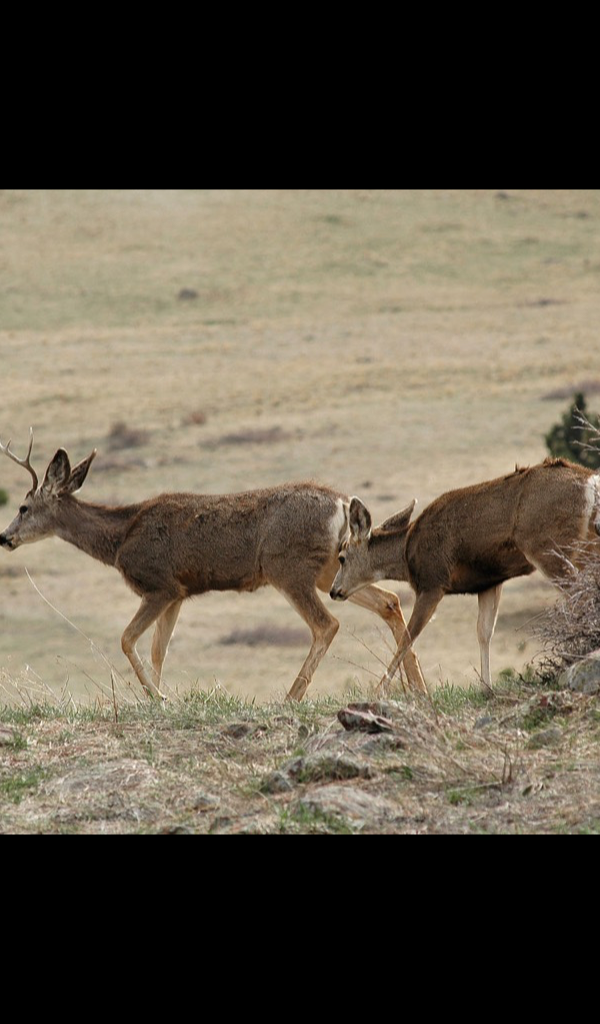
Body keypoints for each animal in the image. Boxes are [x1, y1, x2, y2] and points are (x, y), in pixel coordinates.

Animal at [0, 430, 425, 701]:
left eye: (23, 507)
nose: (5, 538)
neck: (120, 538)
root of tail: (341, 503)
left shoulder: (160, 585)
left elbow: (126, 639)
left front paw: (157, 699)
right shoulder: (179, 594)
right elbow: (158, 650)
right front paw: (161, 698)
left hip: (288, 567)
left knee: (327, 624)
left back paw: (292, 697)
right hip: (329, 571)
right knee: (389, 601)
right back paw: (415, 687)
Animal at [330, 457, 600, 694]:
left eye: (341, 557)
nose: (334, 591)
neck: (408, 554)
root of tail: (591, 481)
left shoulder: (432, 581)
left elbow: (408, 637)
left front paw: (378, 691)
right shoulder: (489, 581)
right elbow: (484, 632)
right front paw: (486, 688)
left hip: (549, 546)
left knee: (579, 597)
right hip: (585, 546)